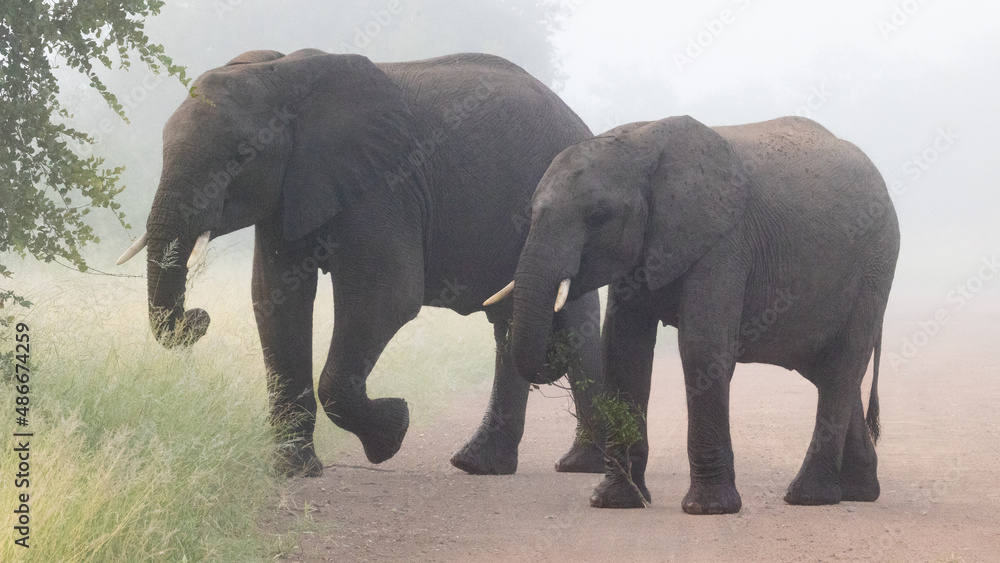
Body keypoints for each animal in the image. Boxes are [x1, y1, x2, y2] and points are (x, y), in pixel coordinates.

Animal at [116, 49, 607, 477]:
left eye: (242, 155)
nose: (198, 318)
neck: (283, 74)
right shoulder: (291, 189)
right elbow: (276, 298)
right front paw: (295, 472)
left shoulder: (384, 183)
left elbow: (386, 298)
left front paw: (393, 432)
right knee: (510, 323)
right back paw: (482, 465)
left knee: (572, 331)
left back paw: (577, 466)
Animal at [487, 115, 899, 513]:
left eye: (599, 215)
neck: (641, 145)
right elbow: (623, 352)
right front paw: (615, 501)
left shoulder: (724, 242)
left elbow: (703, 348)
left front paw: (708, 508)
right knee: (828, 370)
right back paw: (859, 493)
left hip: (874, 268)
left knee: (841, 368)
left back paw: (808, 497)